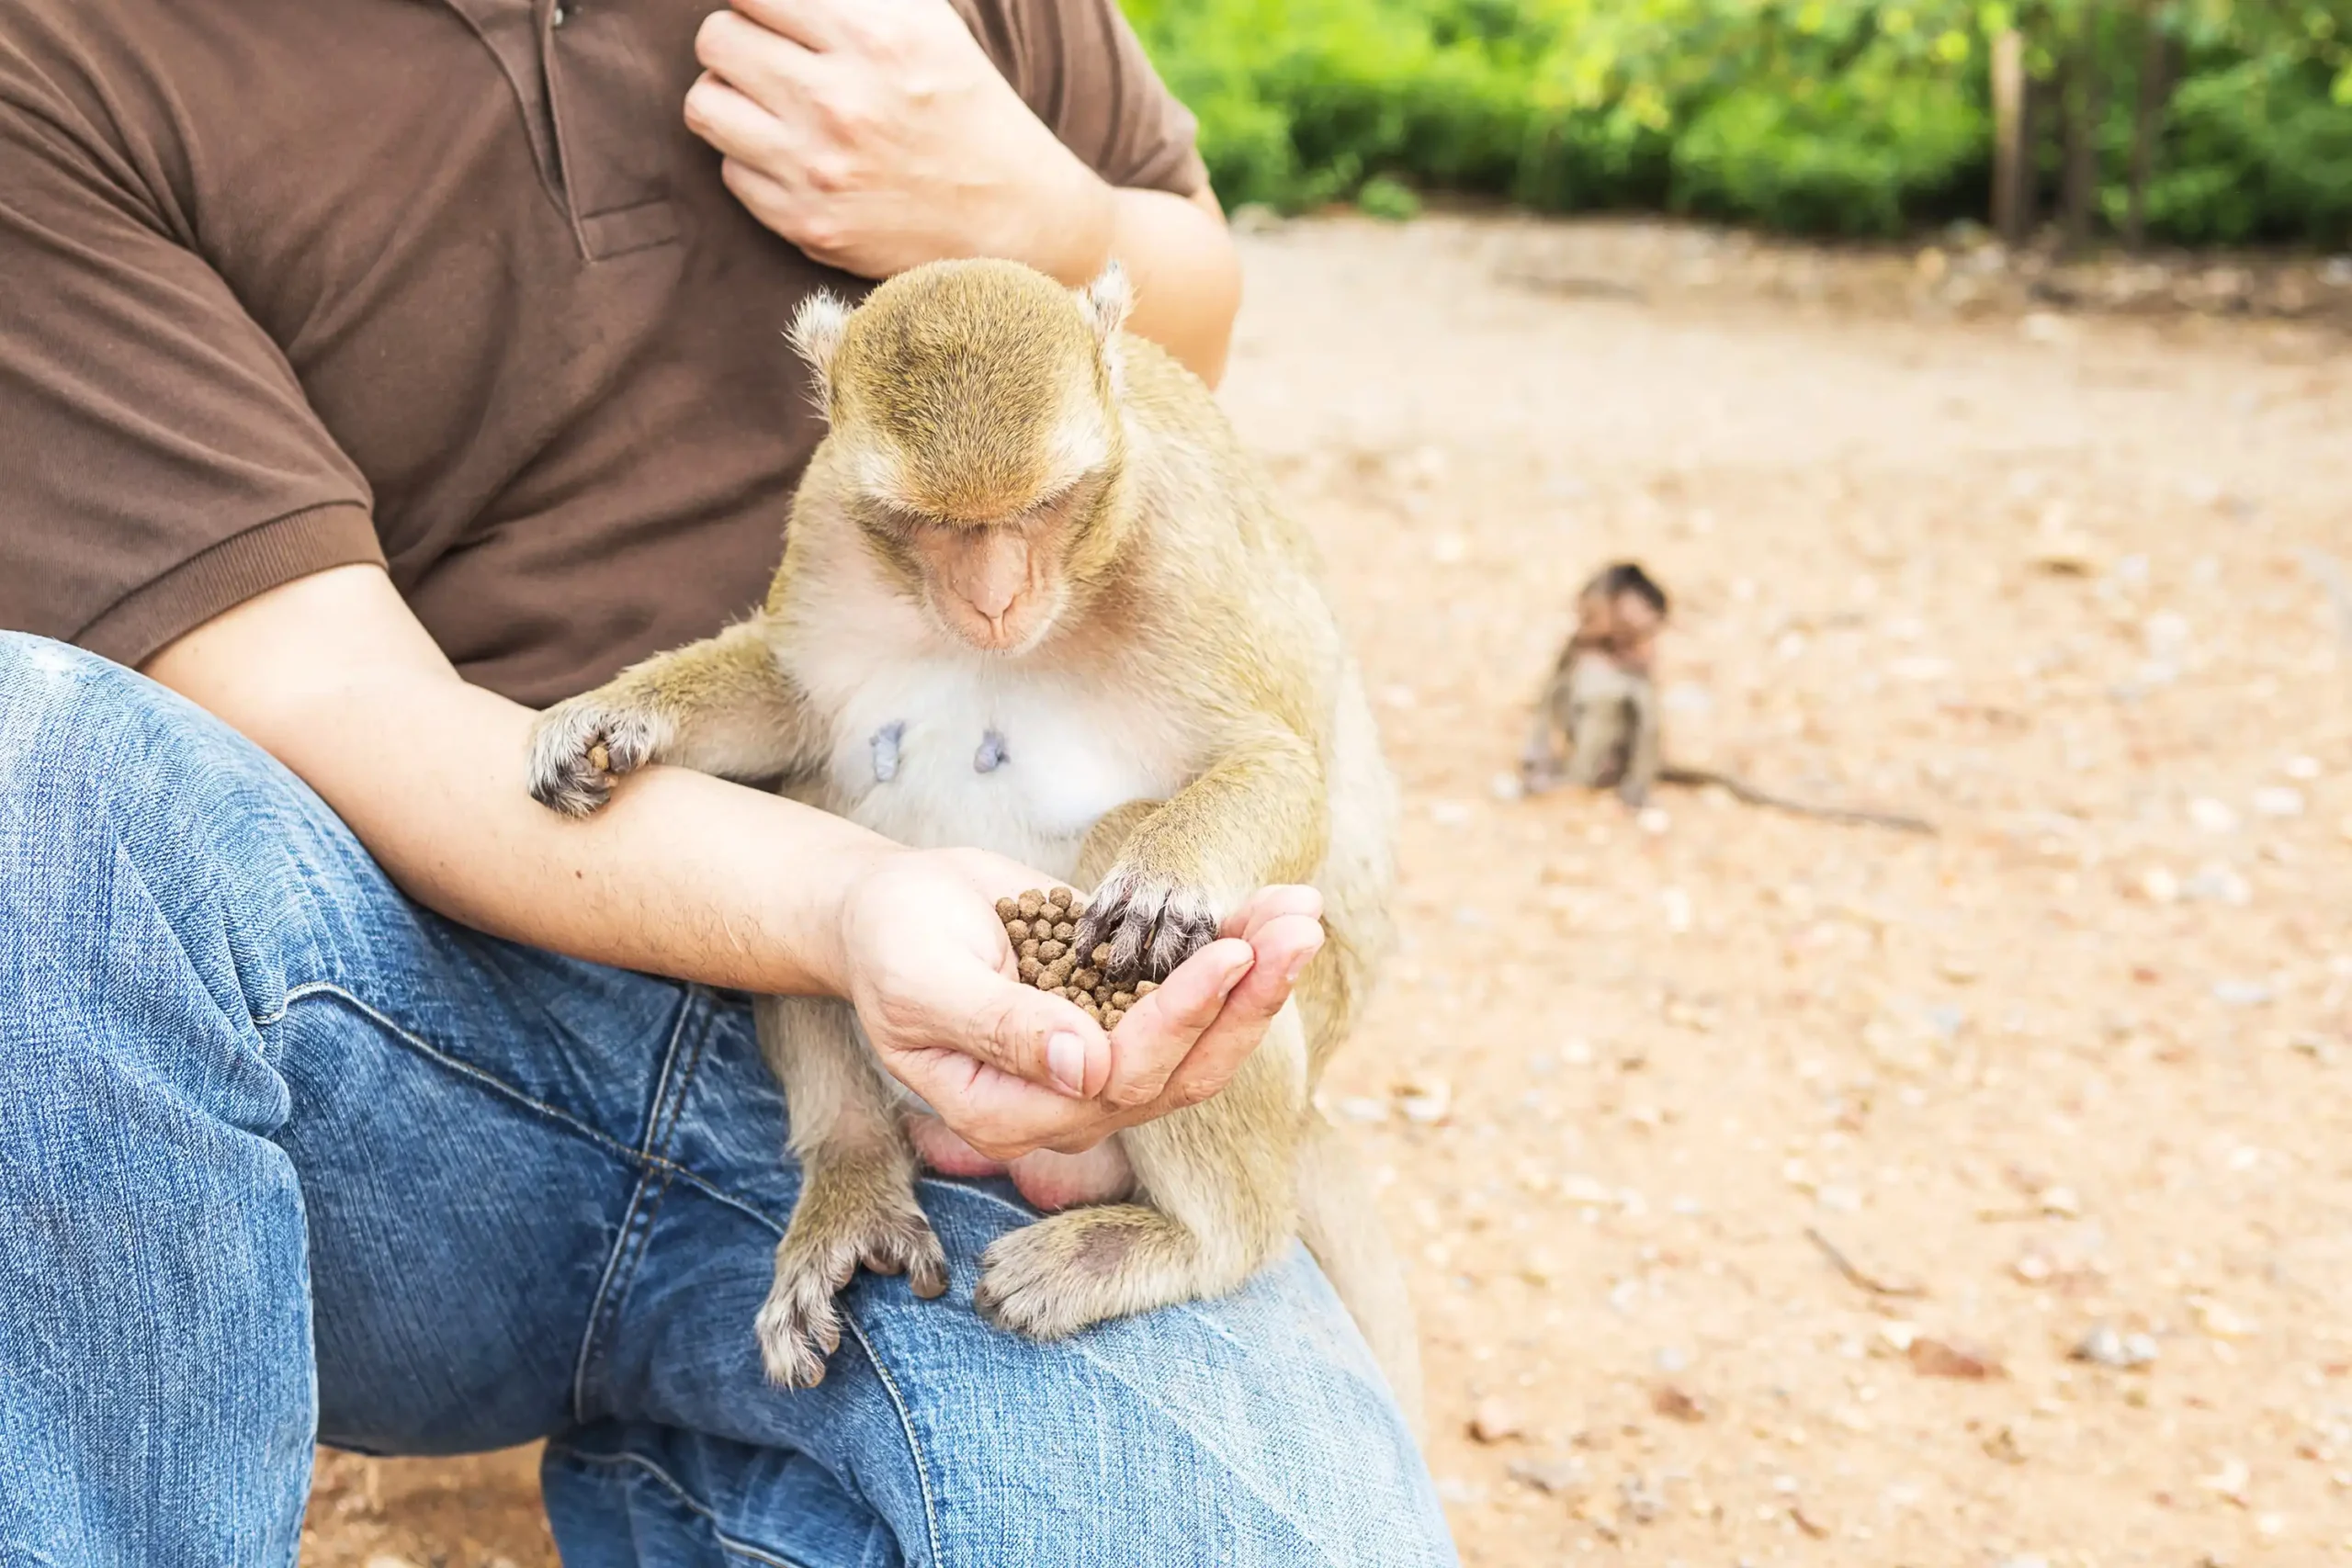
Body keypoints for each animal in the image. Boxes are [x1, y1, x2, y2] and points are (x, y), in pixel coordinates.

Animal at [524, 254, 1420, 1419]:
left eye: (1041, 506)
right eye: (924, 520)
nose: (993, 600)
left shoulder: (1178, 546)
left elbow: (1285, 770)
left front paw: (1168, 878)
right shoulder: (829, 519)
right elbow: (790, 704)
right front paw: (614, 716)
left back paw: (1192, 1243)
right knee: (813, 802)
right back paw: (853, 1170)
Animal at [1523, 561, 1928, 841]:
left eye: (1653, 630)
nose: (1650, 640)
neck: (1608, 647)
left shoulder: (1641, 663)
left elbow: (1645, 714)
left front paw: (1635, 794)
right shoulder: (1577, 643)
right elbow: (1552, 689)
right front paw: (1534, 755)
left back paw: (1569, 778)